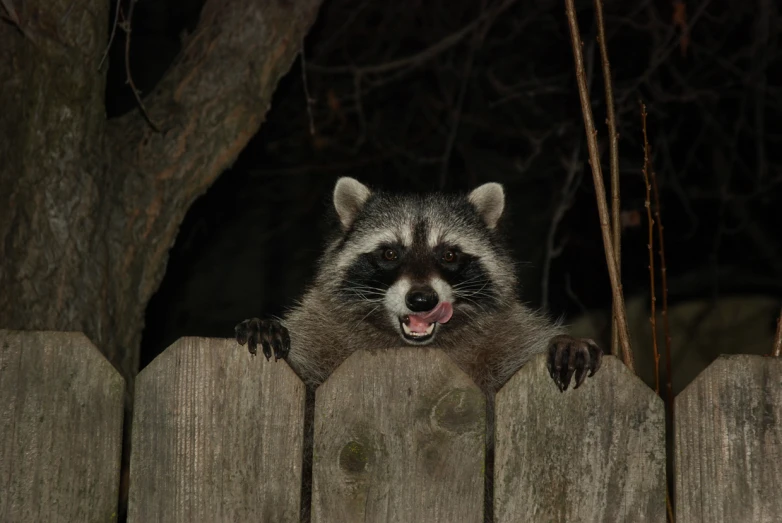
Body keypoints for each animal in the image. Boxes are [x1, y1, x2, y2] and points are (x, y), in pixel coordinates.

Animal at [236, 177, 604, 398]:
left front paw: (565, 341)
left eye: (450, 254)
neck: (413, 348)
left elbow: (523, 348)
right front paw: (269, 327)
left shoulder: (504, 333)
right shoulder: (324, 327)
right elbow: (306, 363)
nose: (422, 300)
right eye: (389, 253)